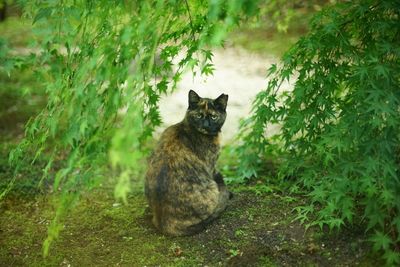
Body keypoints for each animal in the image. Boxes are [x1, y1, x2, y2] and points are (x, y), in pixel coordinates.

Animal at [145, 90, 230, 237]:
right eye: (199, 115)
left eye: (213, 117)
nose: (206, 125)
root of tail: (165, 224)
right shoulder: (211, 166)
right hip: (211, 186)